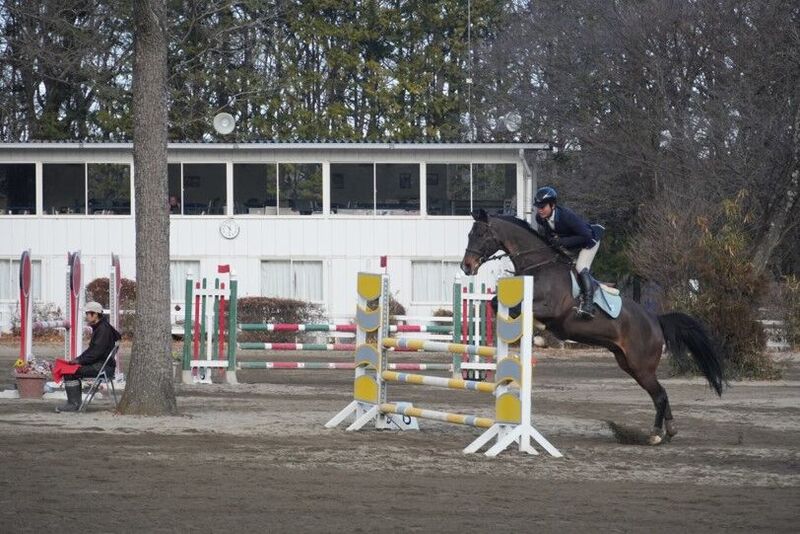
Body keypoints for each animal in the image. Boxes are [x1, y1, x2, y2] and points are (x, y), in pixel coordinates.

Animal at [461, 209, 724, 445]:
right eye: (469, 234)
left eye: (481, 234)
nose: (466, 267)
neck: (540, 265)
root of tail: (655, 320)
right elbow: (496, 302)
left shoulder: (550, 307)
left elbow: (522, 309)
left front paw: (535, 329)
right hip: (627, 363)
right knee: (661, 394)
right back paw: (670, 431)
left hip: (641, 365)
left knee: (659, 395)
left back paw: (655, 435)